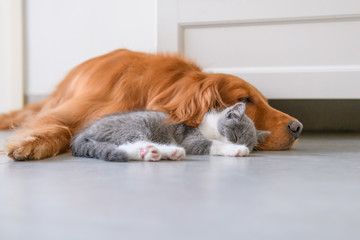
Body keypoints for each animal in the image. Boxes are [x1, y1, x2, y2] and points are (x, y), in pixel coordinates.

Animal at [71, 102, 270, 162]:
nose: (241, 145)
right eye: (235, 136)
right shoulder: (191, 139)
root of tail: (82, 134)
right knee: (130, 142)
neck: (211, 126)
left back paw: (167, 152)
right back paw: (158, 151)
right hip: (134, 126)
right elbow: (212, 144)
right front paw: (236, 150)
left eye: (250, 144)